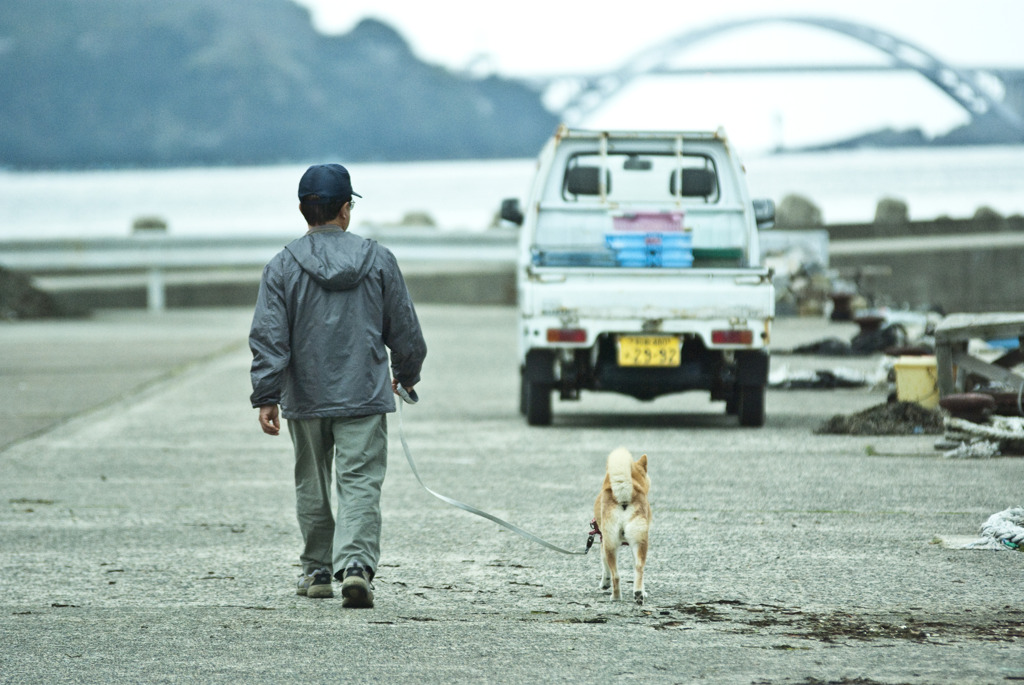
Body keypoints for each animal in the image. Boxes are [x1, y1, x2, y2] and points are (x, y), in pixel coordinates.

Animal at [593, 448, 647, 602]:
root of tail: (624, 497)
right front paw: (643, 591)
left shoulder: (603, 542)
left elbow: (604, 566)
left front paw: (604, 583)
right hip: (639, 541)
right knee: (639, 568)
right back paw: (638, 593)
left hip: (610, 543)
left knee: (615, 575)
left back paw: (615, 597)